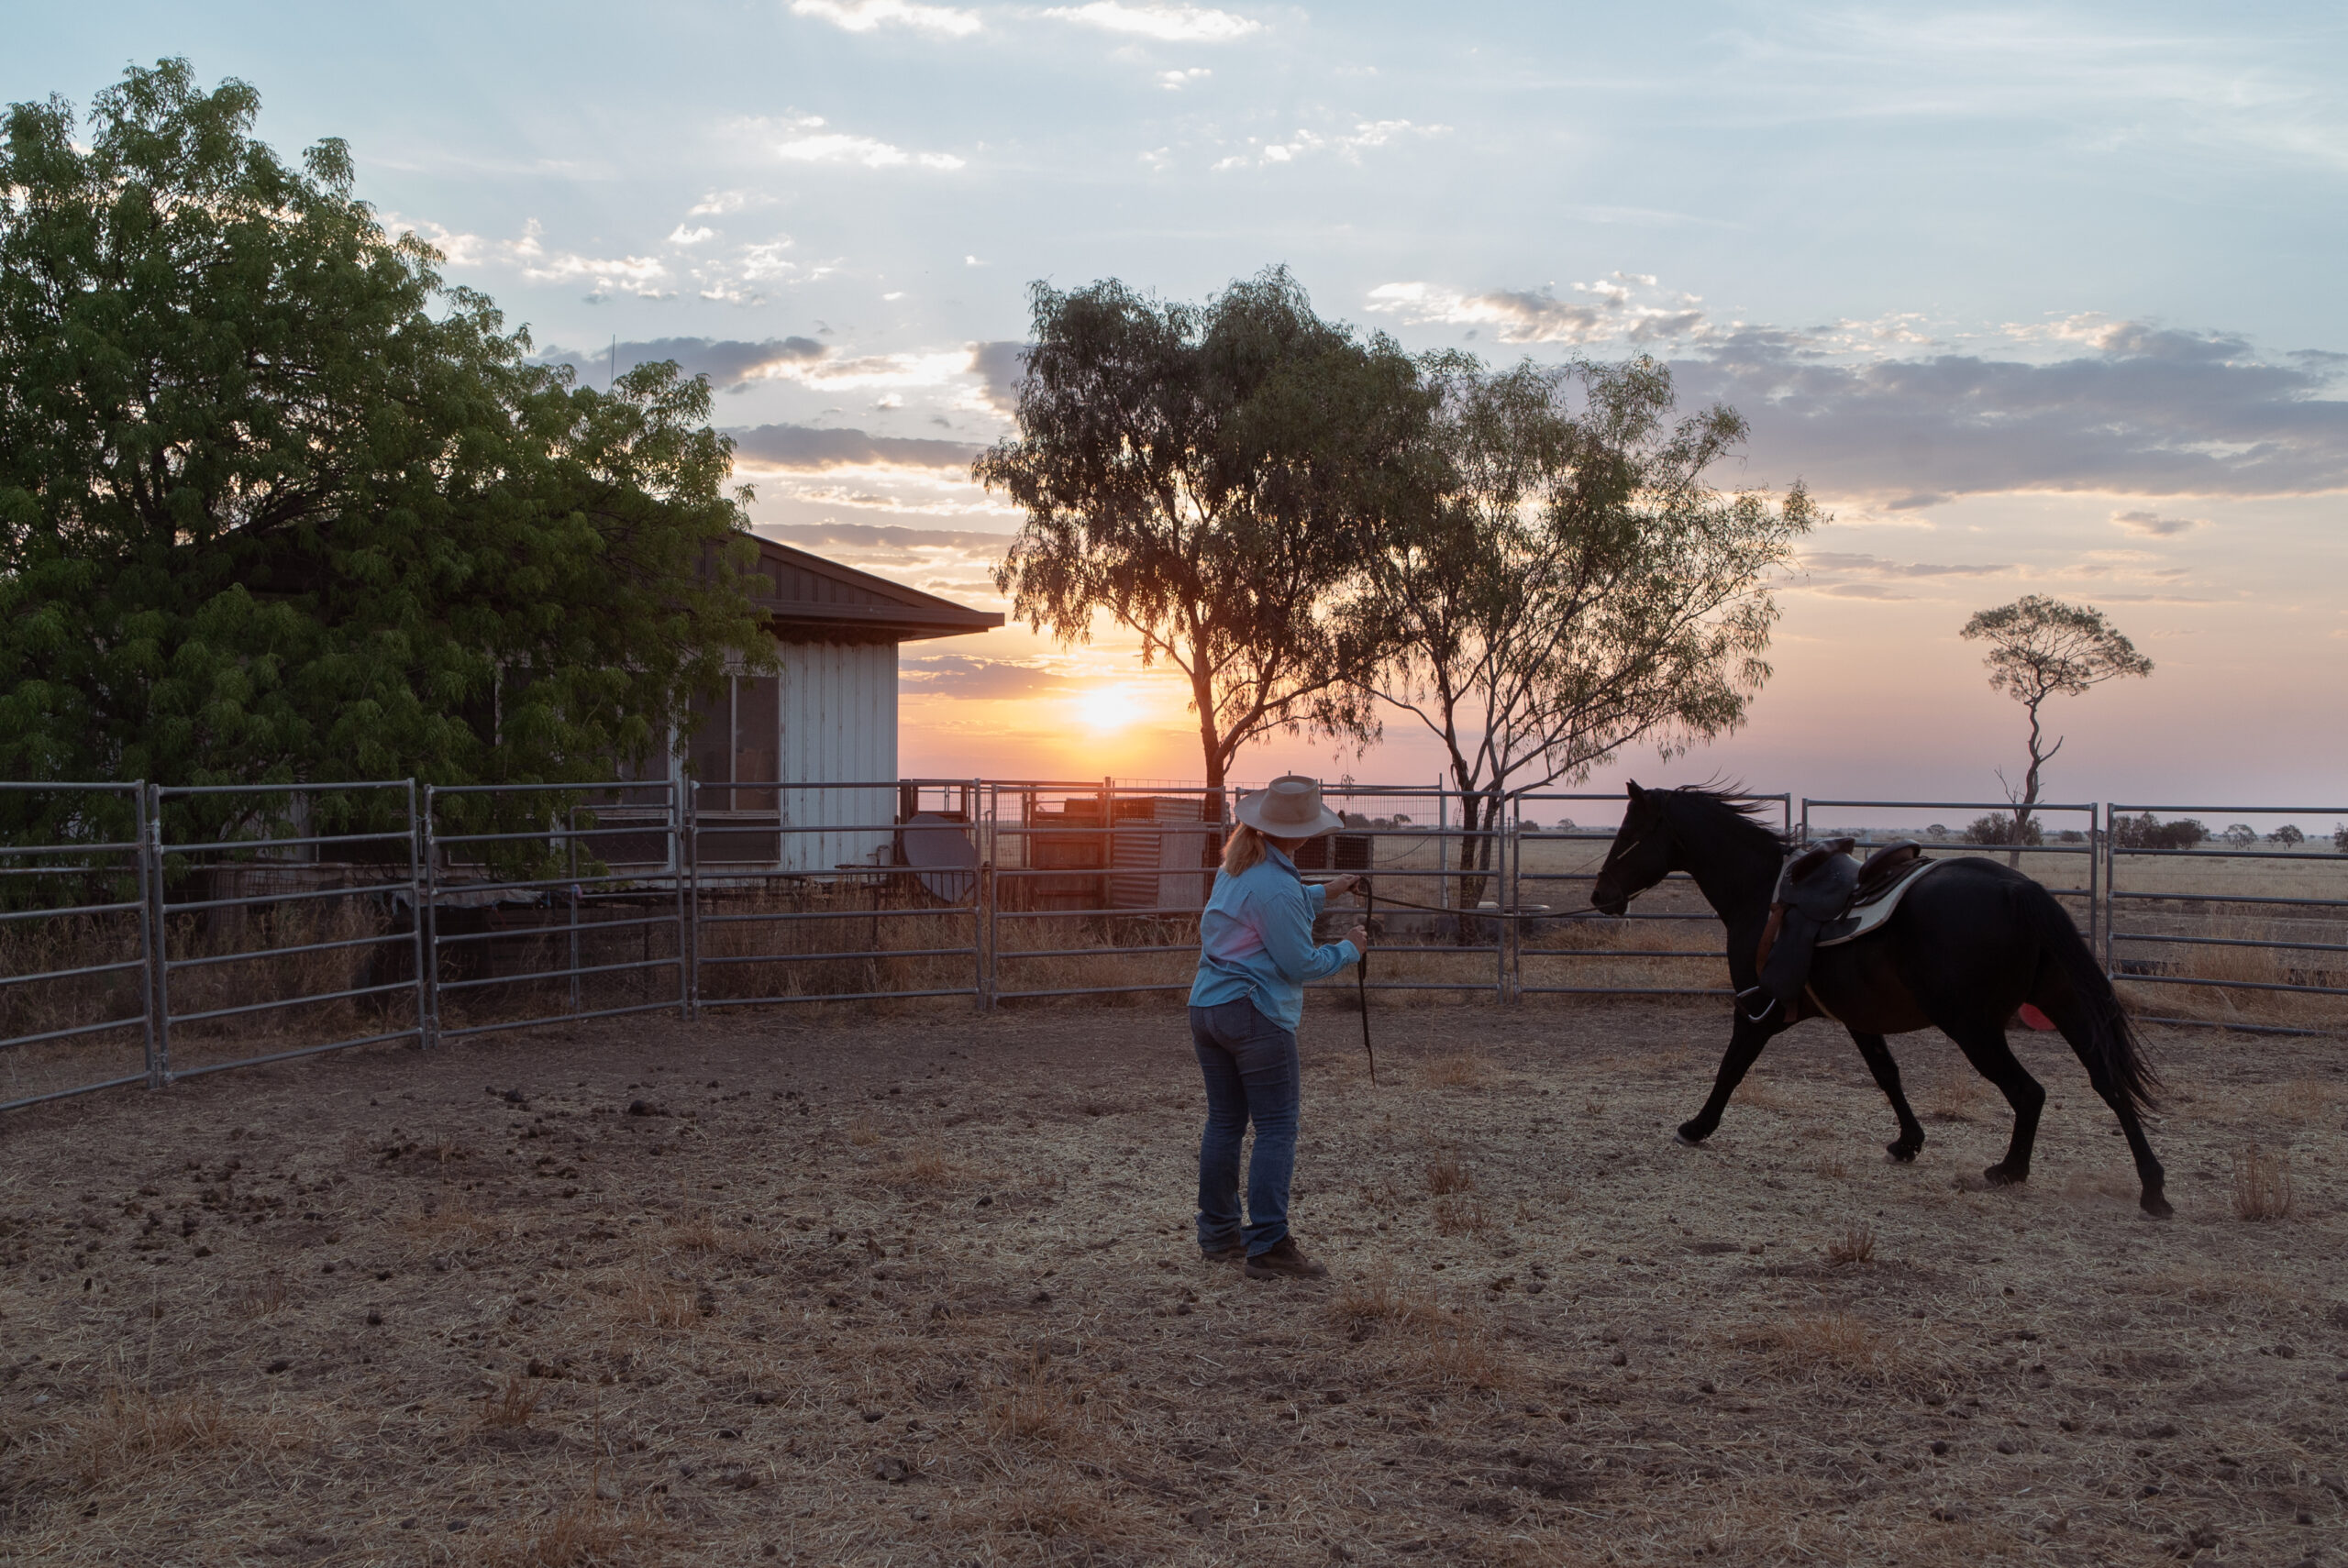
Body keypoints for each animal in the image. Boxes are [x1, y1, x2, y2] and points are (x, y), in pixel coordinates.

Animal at [1587, 789, 2169, 1220]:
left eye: (1630, 833)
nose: (1600, 896)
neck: (1761, 893)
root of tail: (2019, 889)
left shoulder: (1759, 1010)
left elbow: (1731, 1068)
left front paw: (1696, 1127)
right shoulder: (1858, 1018)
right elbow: (1887, 1074)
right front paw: (1908, 1142)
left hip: (1975, 1028)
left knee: (2029, 1091)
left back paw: (2009, 1171)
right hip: (2063, 1004)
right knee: (2109, 1082)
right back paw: (2153, 1188)